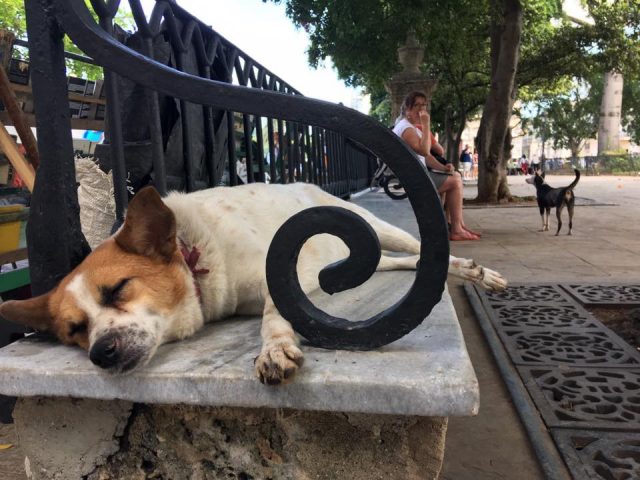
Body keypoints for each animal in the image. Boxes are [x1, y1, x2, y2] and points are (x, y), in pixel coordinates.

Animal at [0, 182, 504, 384]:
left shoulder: (277, 275)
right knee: (400, 264)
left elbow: (273, 315)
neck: (195, 256)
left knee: (422, 250)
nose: (101, 354)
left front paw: (275, 349)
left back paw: (471, 270)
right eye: (74, 330)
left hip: (369, 226)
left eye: (118, 288)